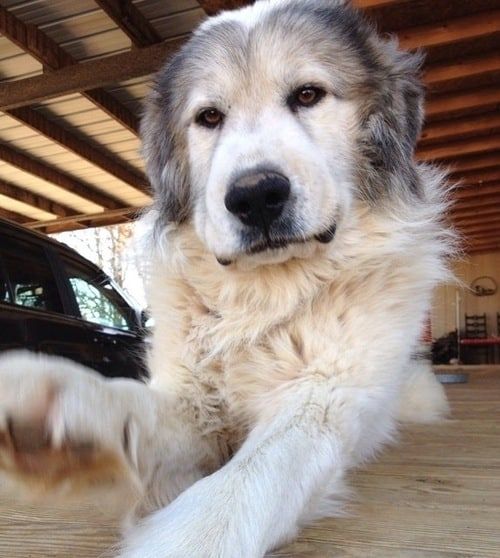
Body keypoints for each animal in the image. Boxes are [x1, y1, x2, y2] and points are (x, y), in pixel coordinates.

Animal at [0, 2, 454, 556]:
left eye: (308, 95)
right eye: (209, 117)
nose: (255, 195)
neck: (263, 296)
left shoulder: (321, 398)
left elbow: (251, 474)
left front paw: (186, 538)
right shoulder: (195, 408)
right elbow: (139, 407)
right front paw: (64, 423)